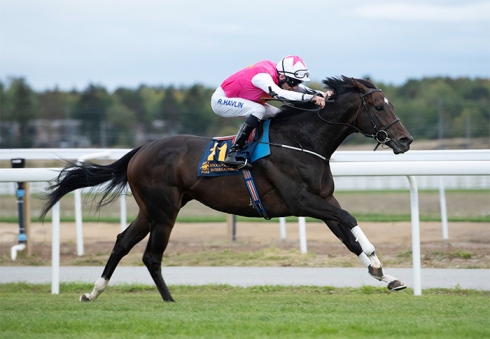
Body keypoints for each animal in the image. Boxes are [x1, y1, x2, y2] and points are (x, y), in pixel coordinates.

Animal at [40, 76, 414, 302]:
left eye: (392, 105)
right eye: (378, 107)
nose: (406, 140)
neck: (303, 141)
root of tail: (141, 149)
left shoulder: (322, 199)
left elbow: (349, 238)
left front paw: (387, 275)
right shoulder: (301, 201)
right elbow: (349, 218)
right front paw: (378, 264)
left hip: (152, 209)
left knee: (122, 243)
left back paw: (93, 292)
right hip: (165, 210)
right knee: (151, 255)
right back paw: (169, 300)